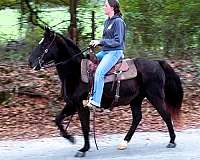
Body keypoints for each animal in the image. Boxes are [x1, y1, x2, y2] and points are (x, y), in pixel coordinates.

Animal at [28, 27, 183, 158]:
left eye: (44, 44)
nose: (30, 61)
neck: (76, 72)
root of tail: (157, 63)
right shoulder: (72, 104)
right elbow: (58, 120)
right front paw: (71, 138)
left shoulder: (81, 106)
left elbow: (85, 127)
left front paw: (83, 149)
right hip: (136, 99)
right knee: (137, 118)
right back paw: (124, 143)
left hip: (155, 96)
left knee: (165, 115)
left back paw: (172, 141)